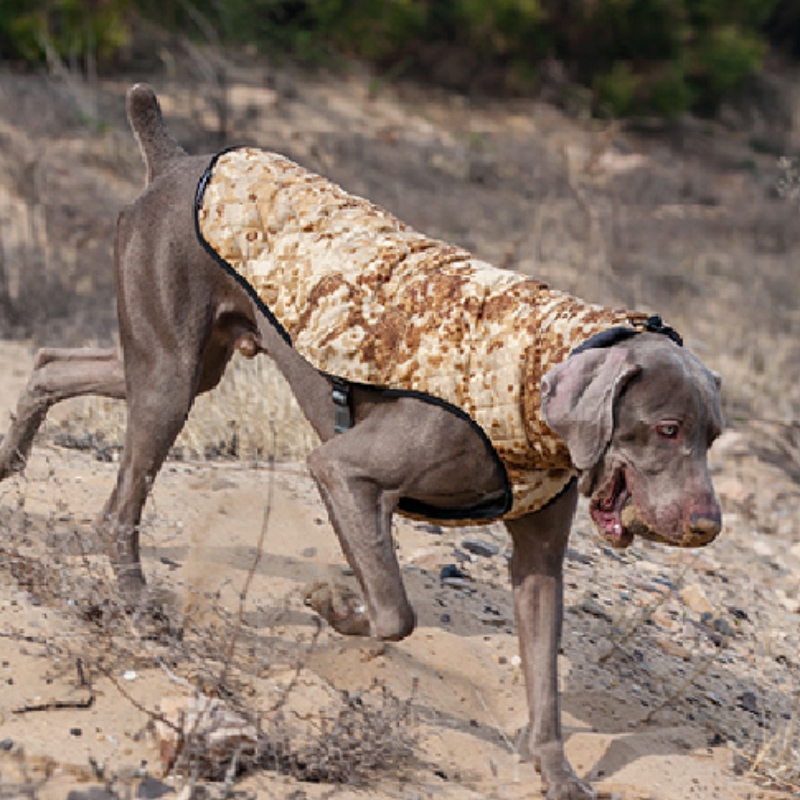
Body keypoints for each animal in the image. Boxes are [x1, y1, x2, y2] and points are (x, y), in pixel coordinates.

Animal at [0, 84, 720, 796]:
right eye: (667, 428)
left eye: (713, 435)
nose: (707, 525)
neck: (534, 382)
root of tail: (175, 162)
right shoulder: (343, 469)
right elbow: (395, 612)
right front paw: (329, 605)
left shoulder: (537, 561)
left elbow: (541, 675)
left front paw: (559, 773)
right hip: (170, 373)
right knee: (118, 507)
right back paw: (137, 606)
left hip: (183, 365)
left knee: (50, 362)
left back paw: (9, 464)